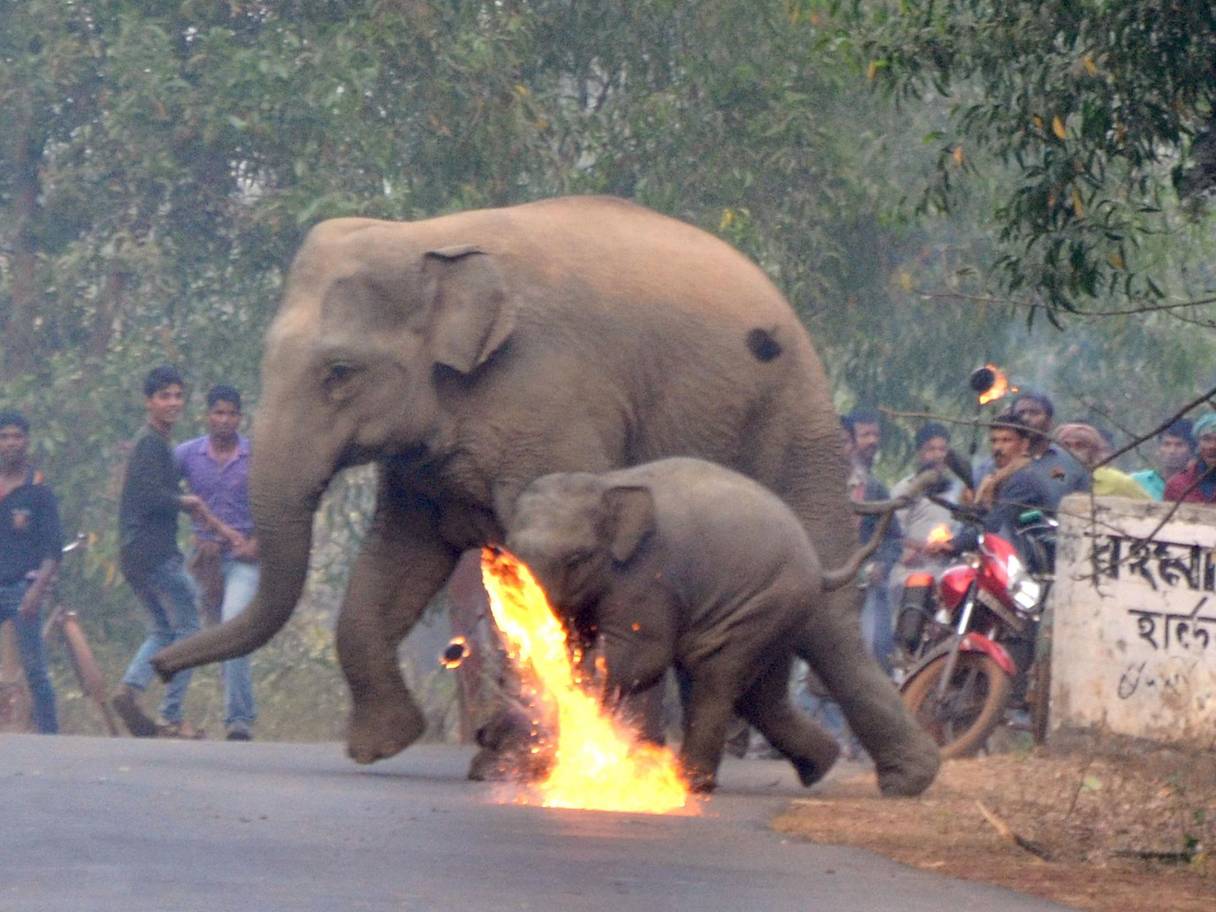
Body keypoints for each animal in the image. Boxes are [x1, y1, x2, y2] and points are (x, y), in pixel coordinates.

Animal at [503, 457, 875, 792]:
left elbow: (643, 655)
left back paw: (693, 783)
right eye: (509, 554)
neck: (606, 484)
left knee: (715, 675)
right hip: (779, 615)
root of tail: (815, 561)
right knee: (762, 698)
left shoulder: (648, 575)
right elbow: (576, 644)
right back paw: (820, 765)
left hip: (766, 603)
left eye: (577, 558)